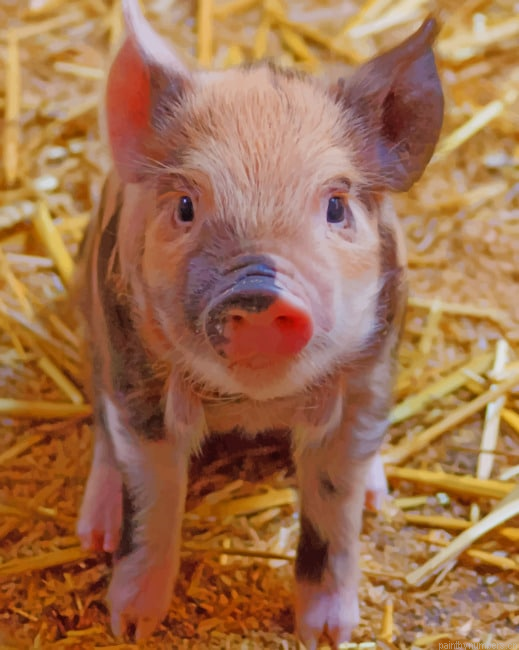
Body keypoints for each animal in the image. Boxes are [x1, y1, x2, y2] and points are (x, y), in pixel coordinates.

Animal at [75, 0, 443, 646]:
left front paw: (329, 634)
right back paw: (93, 533)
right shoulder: (135, 372)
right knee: (102, 425)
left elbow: (334, 507)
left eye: (336, 207)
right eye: (186, 206)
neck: (254, 404)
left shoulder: (367, 377)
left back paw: (380, 498)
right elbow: (152, 499)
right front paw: (131, 626)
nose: (257, 291)